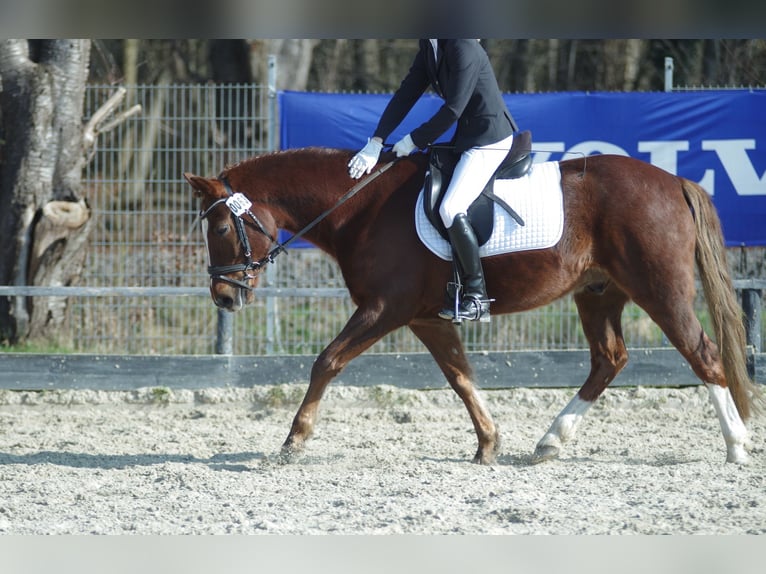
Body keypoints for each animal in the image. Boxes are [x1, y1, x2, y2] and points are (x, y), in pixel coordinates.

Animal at [183, 146, 764, 466]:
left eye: (220, 228)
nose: (224, 296)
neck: (360, 208)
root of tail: (674, 180)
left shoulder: (384, 308)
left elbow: (326, 361)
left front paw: (294, 441)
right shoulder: (424, 317)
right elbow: (460, 377)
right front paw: (489, 444)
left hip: (659, 289)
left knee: (703, 355)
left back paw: (736, 445)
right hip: (599, 293)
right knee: (609, 360)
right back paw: (550, 442)